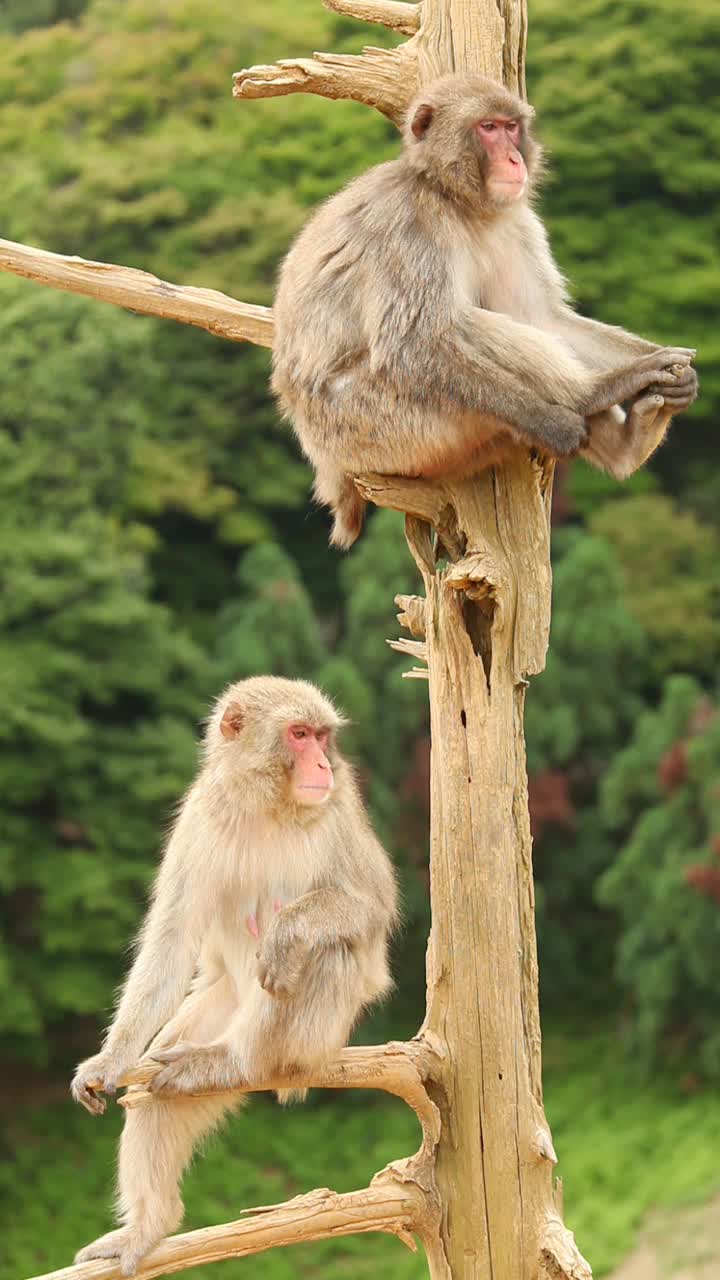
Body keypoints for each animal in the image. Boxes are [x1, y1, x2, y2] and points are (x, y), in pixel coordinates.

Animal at [71, 675, 397, 1274]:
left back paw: (236, 1062)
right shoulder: (200, 817)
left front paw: (288, 932)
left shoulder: (340, 809)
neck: (268, 804)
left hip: (315, 1038)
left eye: (322, 736)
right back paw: (150, 1224)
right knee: (153, 1093)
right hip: (219, 1004)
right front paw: (110, 1058)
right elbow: (172, 941)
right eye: (299, 735)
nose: (325, 764)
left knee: (325, 955)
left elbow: (371, 910)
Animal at [270, 72, 696, 547]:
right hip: (372, 426)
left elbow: (543, 318)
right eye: (487, 128)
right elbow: (412, 346)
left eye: (511, 127)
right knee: (462, 326)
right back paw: (591, 393)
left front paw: (666, 368)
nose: (514, 158)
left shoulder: (516, 221)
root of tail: (328, 466)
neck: (454, 199)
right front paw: (556, 418)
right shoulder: (408, 225)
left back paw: (629, 443)